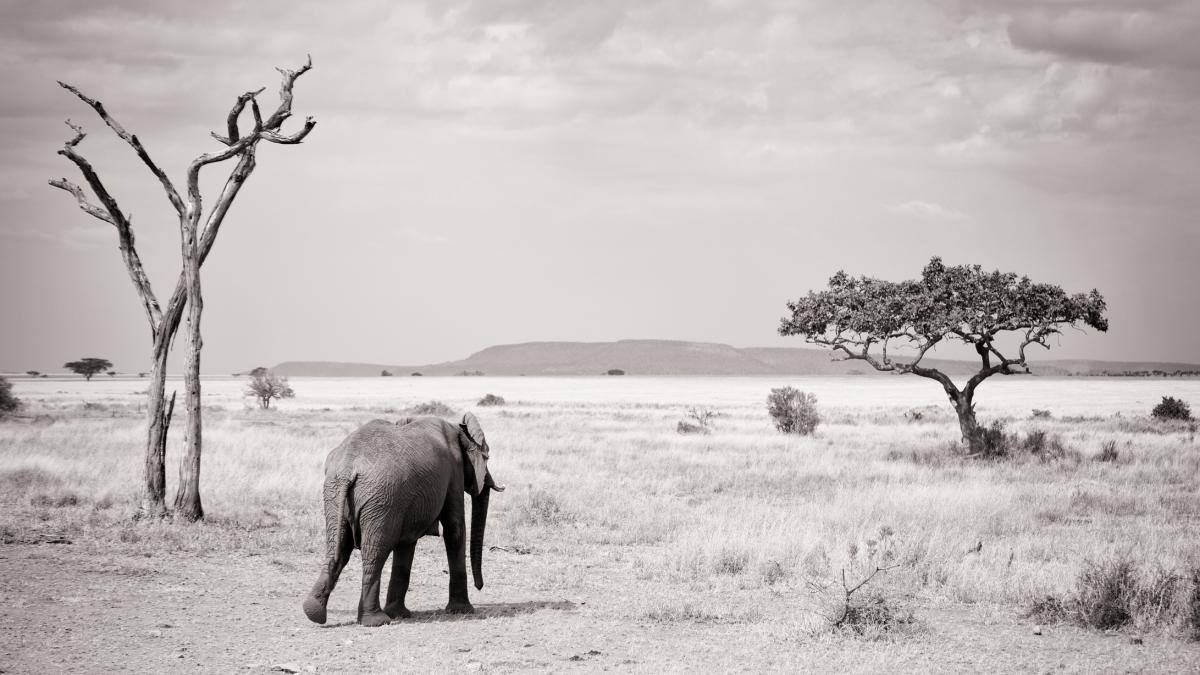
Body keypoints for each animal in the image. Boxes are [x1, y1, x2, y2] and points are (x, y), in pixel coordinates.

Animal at [302, 413, 503, 627]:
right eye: (487, 456)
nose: (480, 586)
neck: (457, 428)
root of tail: (348, 467)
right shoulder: (454, 473)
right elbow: (454, 528)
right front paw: (462, 610)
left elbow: (406, 543)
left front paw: (399, 613)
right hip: (380, 499)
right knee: (374, 554)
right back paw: (377, 620)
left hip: (335, 495)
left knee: (337, 549)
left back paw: (314, 612)